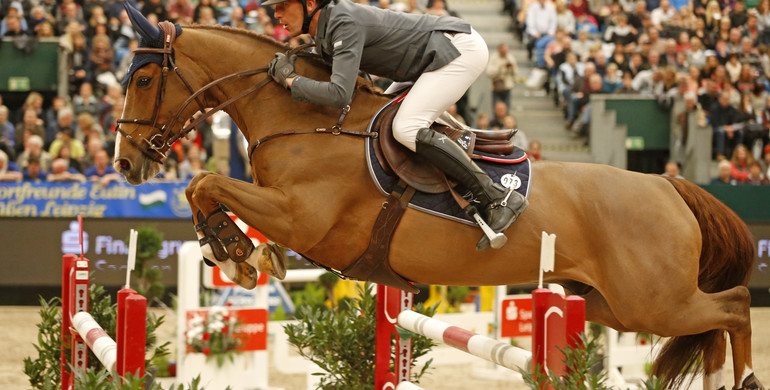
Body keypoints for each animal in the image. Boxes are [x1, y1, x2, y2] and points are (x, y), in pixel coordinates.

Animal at [114, 6, 760, 390]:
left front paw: (238, 252)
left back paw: (746, 376)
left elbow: (207, 182)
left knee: (733, 305)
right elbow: (201, 186)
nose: (125, 162)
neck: (304, 120)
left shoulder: (303, 219)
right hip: (609, 304)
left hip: (654, 302)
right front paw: (233, 253)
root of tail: (667, 184)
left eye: (143, 80)